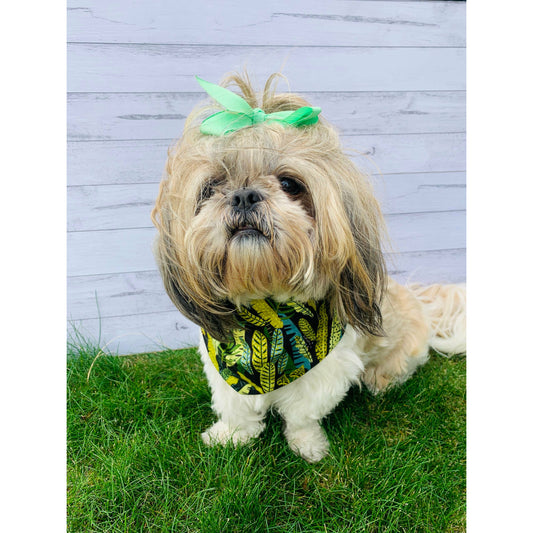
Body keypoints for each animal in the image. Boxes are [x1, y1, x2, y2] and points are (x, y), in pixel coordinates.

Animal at [151, 72, 466, 464]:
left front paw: (308, 445)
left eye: (289, 183)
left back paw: (380, 382)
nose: (243, 195)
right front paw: (230, 435)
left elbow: (302, 415)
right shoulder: (224, 367)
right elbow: (238, 409)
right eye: (211, 187)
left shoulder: (325, 373)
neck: (268, 315)